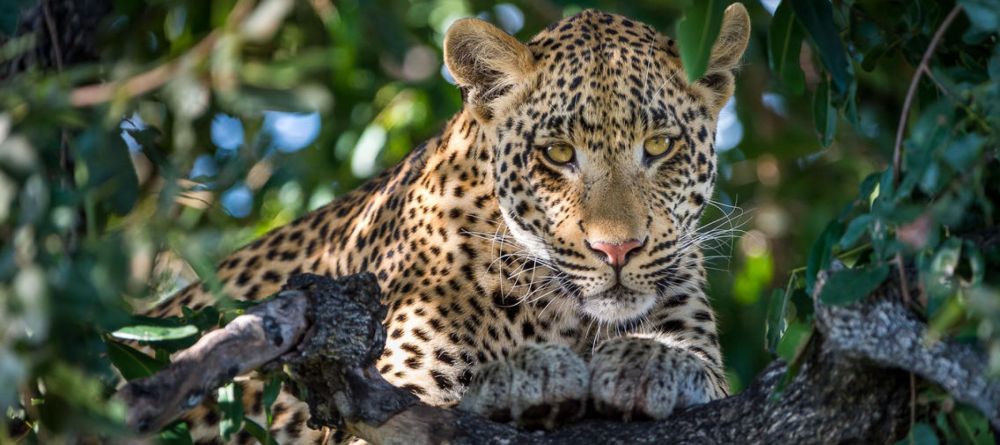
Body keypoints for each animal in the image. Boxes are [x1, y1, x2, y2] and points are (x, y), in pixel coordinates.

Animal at [139, 5, 752, 442]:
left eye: (660, 145)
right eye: (557, 153)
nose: (618, 249)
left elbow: (697, 368)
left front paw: (649, 361)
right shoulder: (384, 395)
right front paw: (526, 378)